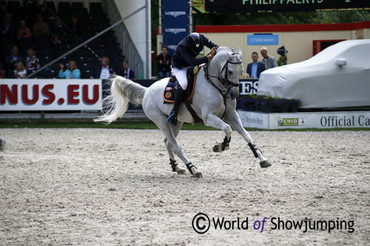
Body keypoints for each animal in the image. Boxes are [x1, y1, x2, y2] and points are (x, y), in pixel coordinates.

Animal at [95, 46, 272, 177]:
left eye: (241, 71)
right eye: (229, 72)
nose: (234, 94)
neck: (217, 86)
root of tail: (147, 91)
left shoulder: (231, 115)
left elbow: (246, 135)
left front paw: (262, 159)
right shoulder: (209, 117)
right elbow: (228, 129)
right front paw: (222, 146)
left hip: (176, 122)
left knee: (167, 142)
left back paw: (177, 167)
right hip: (160, 121)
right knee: (175, 145)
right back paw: (193, 168)